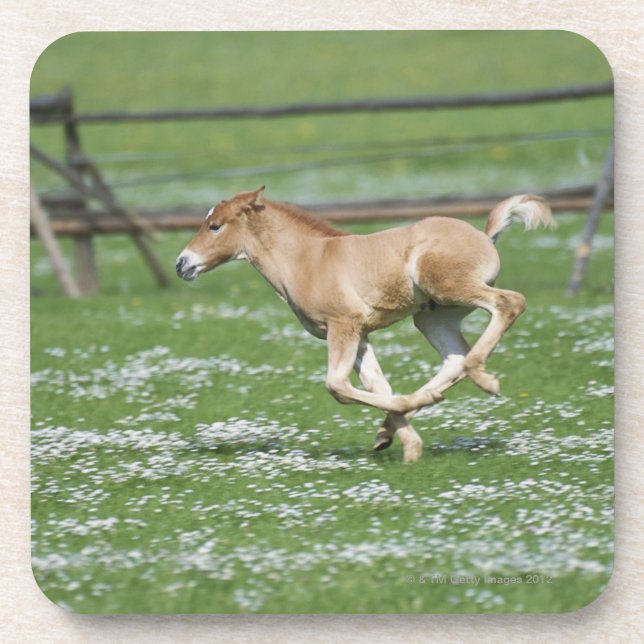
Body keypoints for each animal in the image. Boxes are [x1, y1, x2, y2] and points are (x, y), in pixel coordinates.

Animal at [176, 187, 554, 462]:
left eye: (215, 225)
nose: (182, 264)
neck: (307, 260)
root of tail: (485, 236)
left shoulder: (343, 326)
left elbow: (337, 386)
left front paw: (402, 424)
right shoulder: (358, 333)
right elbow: (377, 385)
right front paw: (406, 446)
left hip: (449, 288)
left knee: (508, 304)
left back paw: (485, 379)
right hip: (433, 316)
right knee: (454, 358)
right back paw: (421, 403)